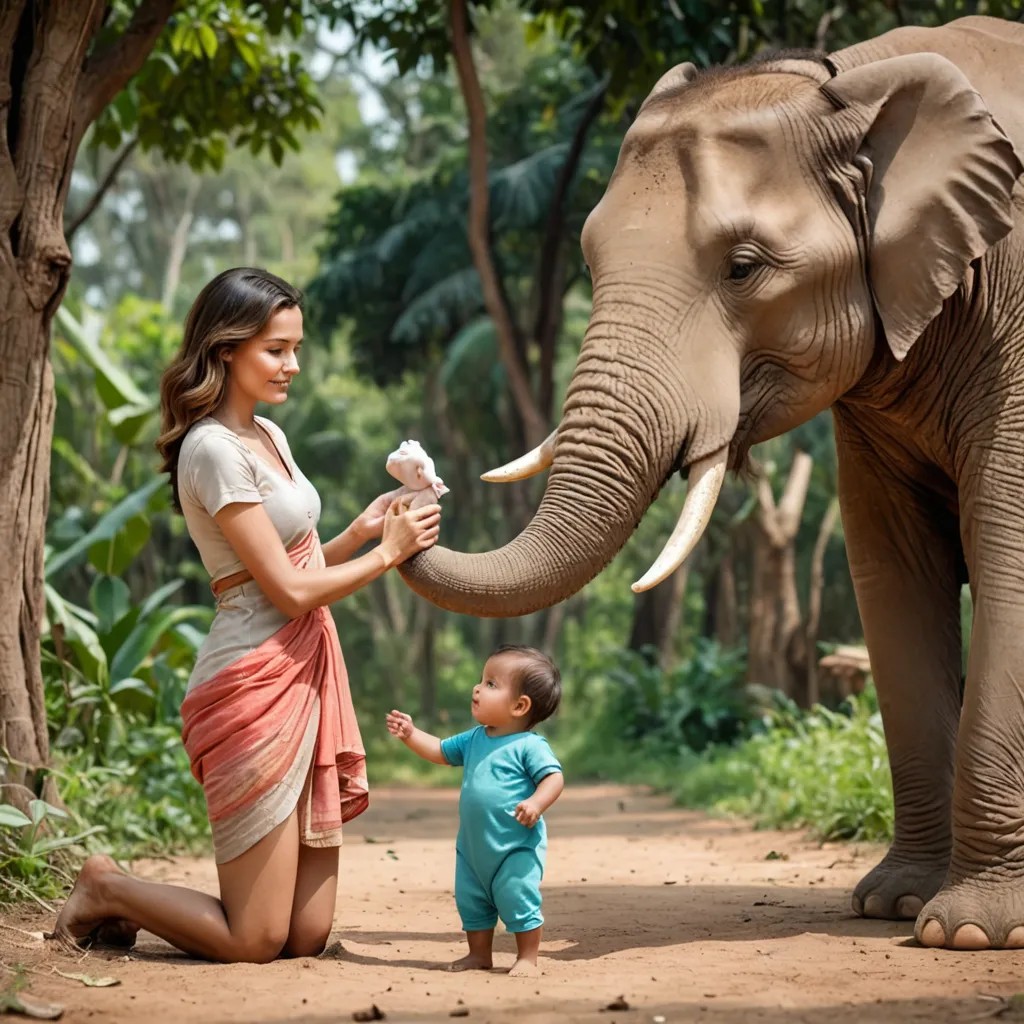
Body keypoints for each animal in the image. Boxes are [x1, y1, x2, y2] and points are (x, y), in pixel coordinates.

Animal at [399, 16, 1024, 950]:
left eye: (743, 266)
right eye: (588, 260)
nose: (410, 492)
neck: (848, 84)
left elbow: (1007, 555)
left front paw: (968, 934)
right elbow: (892, 573)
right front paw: (893, 906)